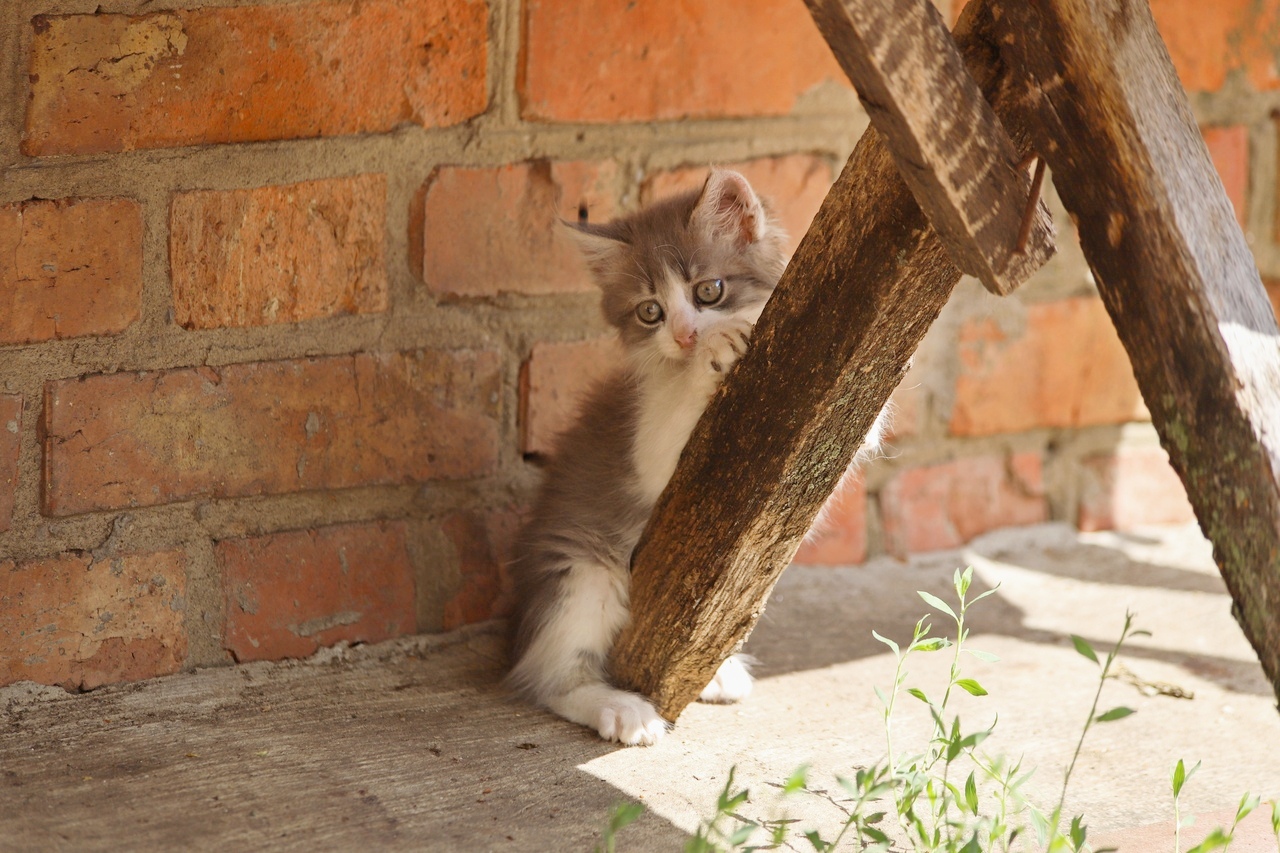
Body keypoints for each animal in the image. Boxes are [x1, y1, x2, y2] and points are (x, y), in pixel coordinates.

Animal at [506, 167, 880, 742]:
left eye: (709, 290)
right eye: (650, 311)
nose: (685, 336)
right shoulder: (647, 444)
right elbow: (670, 430)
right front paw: (714, 349)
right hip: (581, 570)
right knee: (550, 677)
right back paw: (620, 708)